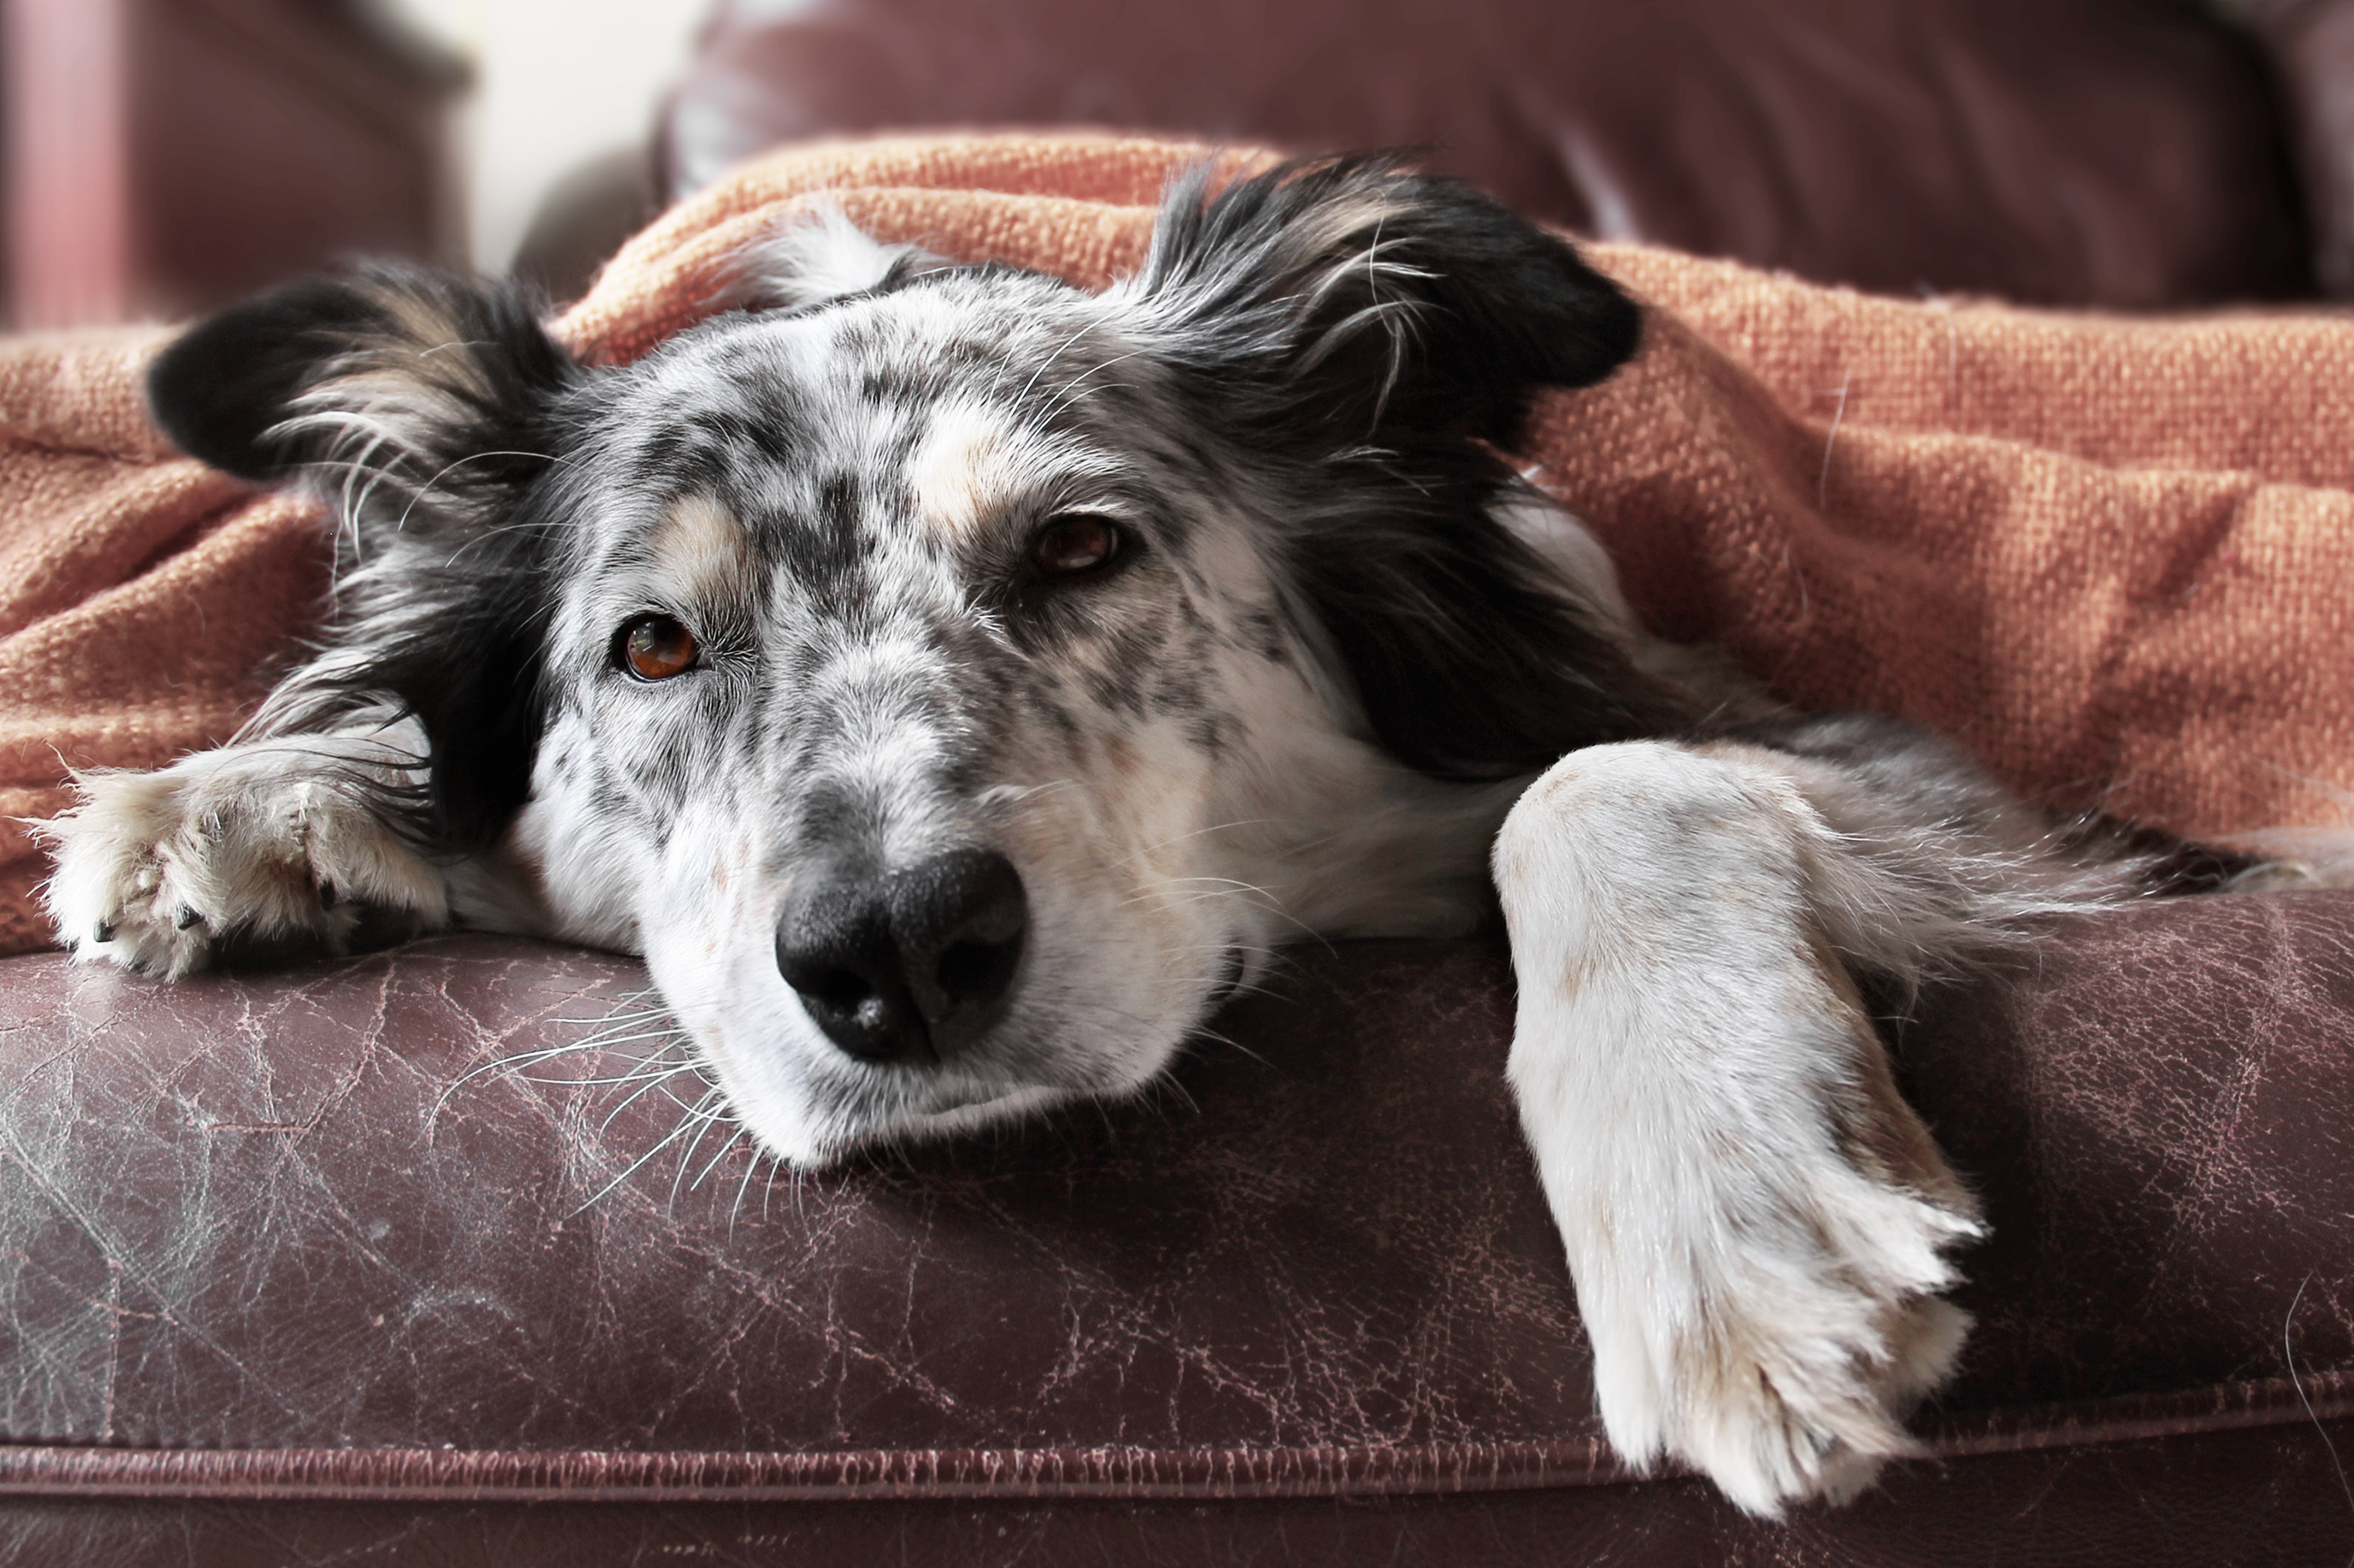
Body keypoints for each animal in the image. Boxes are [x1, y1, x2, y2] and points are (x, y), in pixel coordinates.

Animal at [37, 153, 2316, 1506]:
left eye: (1076, 548)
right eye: (654, 648)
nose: (895, 956)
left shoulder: (1934, 784)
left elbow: (1598, 780)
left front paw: (1726, 1223)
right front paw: (247, 799)